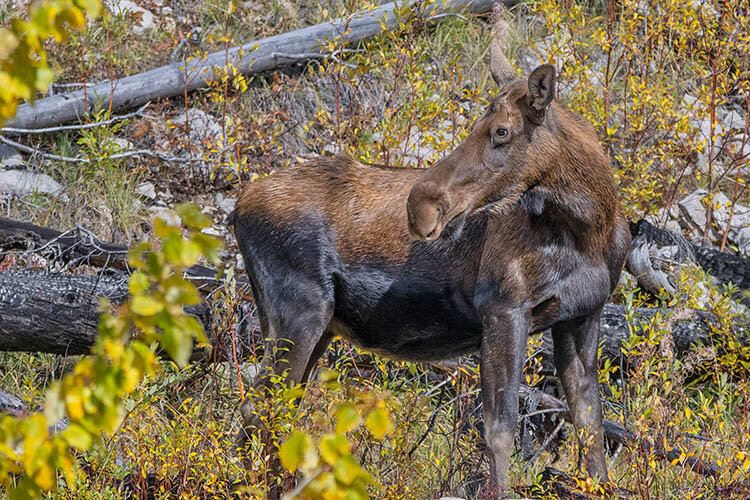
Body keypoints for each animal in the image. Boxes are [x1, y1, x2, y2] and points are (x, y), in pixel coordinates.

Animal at [232, 20, 632, 500]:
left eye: (502, 131)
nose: (420, 205)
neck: (590, 227)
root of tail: (236, 209)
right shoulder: (503, 309)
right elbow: (500, 431)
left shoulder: (582, 314)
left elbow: (590, 427)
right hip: (298, 314)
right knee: (258, 413)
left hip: (312, 325)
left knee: (273, 417)